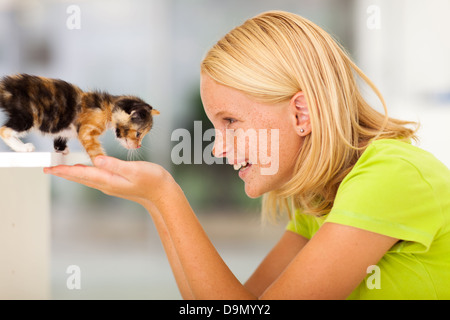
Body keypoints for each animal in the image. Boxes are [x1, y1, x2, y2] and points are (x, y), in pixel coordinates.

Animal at [0, 74, 160, 162]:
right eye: (138, 134)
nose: (138, 146)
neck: (108, 107)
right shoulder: (87, 130)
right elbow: (94, 149)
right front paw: (102, 162)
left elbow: (61, 135)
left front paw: (61, 148)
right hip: (28, 116)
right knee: (4, 130)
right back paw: (23, 147)